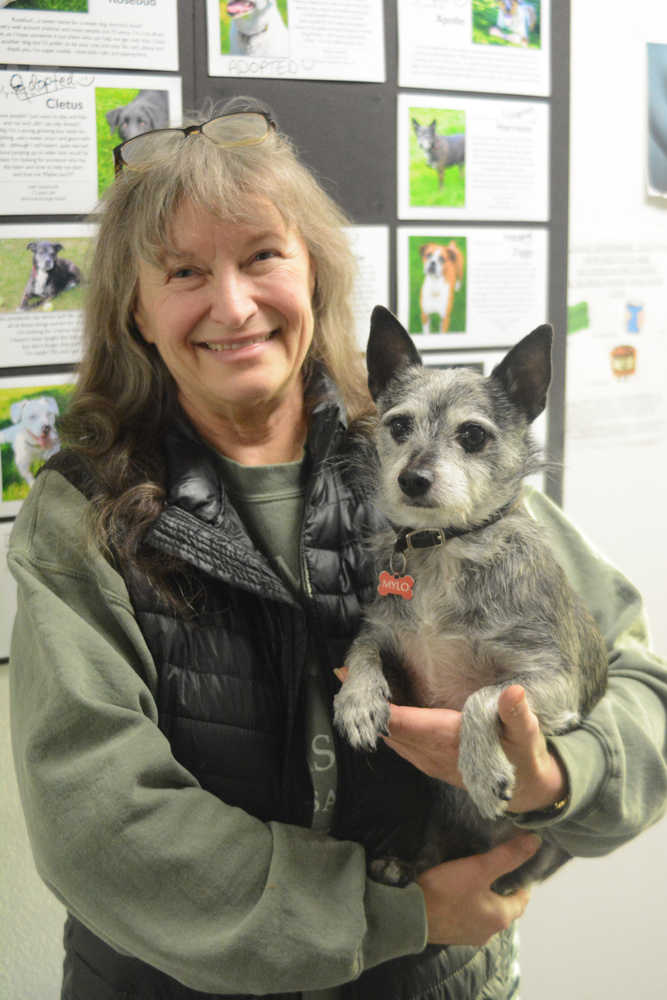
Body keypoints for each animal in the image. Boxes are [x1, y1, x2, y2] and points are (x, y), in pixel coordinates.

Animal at [334, 306, 612, 900]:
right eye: (398, 426)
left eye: (473, 435)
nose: (412, 478)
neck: (443, 549)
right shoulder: (384, 634)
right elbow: (363, 648)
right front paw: (358, 701)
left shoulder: (554, 685)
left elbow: (481, 698)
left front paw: (483, 770)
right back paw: (402, 864)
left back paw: (504, 880)